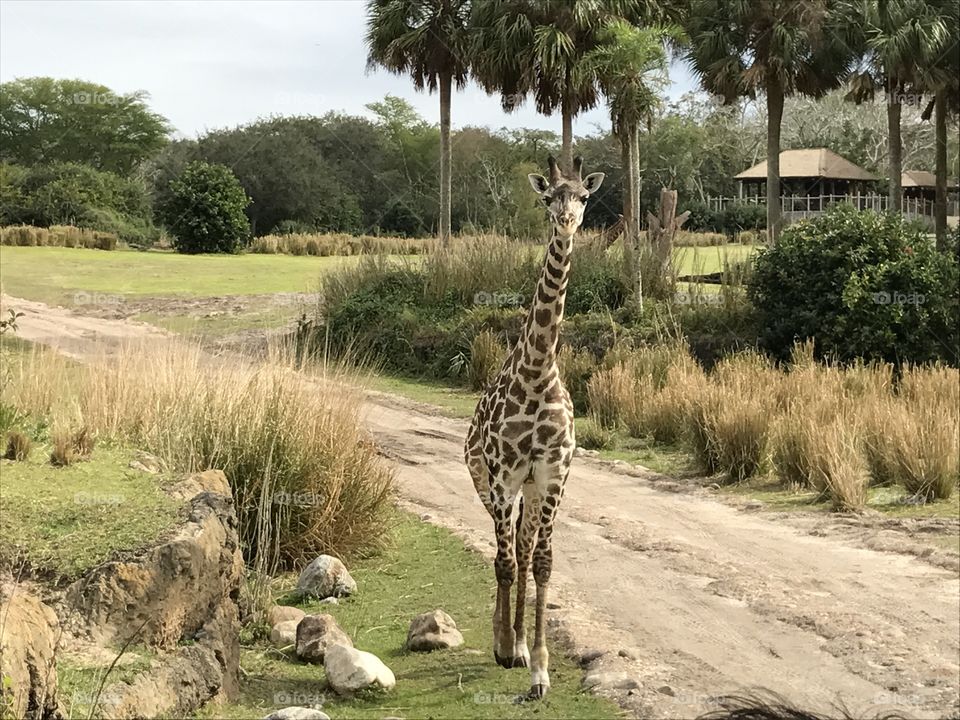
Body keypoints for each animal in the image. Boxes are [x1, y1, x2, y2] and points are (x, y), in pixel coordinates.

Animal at [464, 155, 604, 700]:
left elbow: (542, 561)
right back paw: (505, 641)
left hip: (528, 488)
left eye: (583, 197)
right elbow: (503, 561)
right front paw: (504, 647)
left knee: (522, 550)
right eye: (548, 197)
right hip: (487, 483)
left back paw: (522, 645)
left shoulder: (552, 474)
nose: (565, 222)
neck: (537, 372)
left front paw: (539, 668)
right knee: (501, 551)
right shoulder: (503, 476)